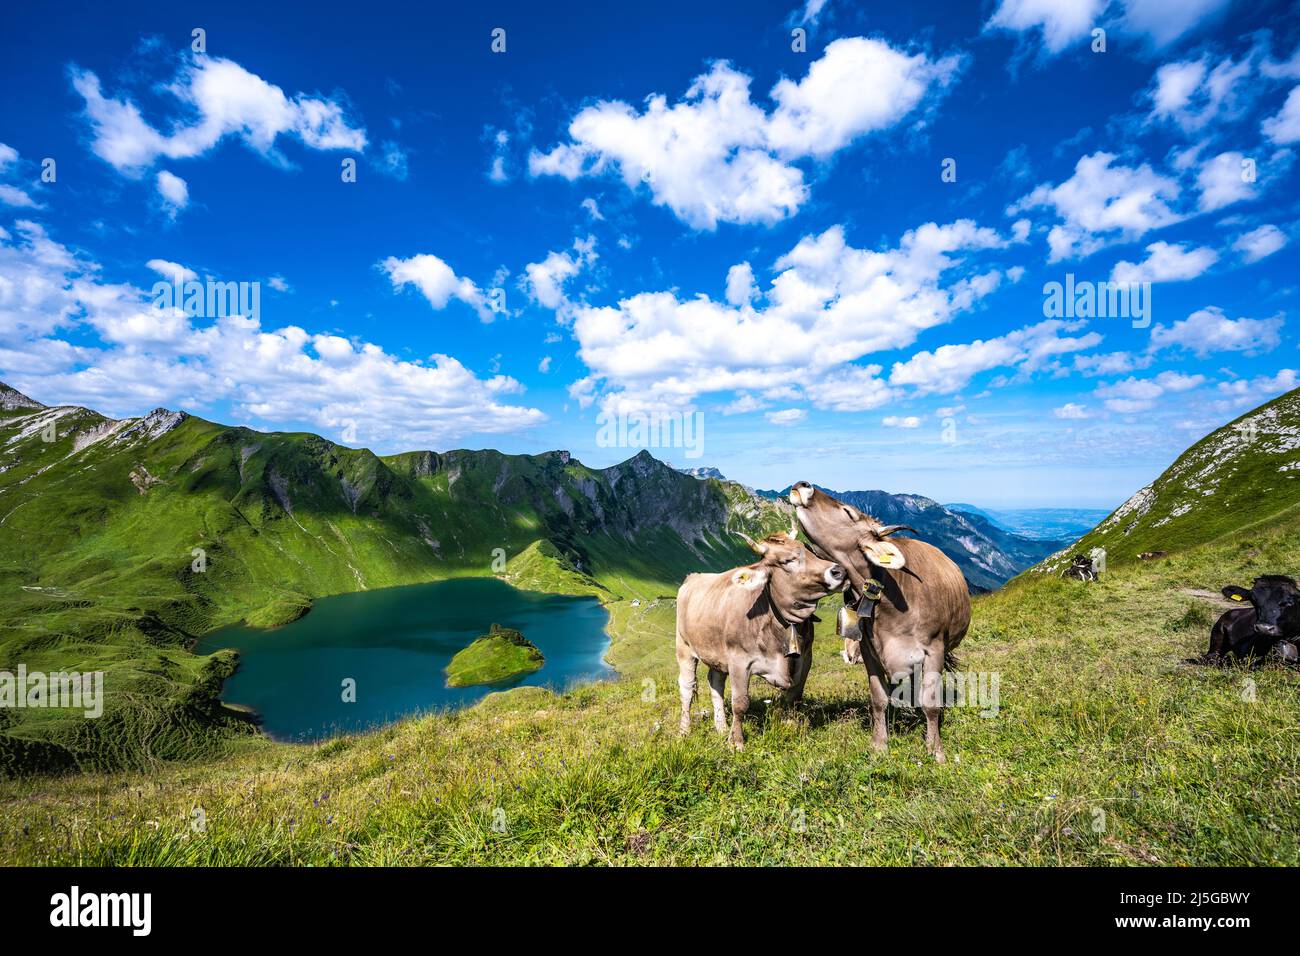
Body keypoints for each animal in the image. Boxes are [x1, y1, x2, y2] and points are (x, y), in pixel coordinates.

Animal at [676, 530, 847, 749]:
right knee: (687, 689)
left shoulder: (806, 658)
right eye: (787, 561)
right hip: (684, 648)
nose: (839, 571)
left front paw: (791, 727)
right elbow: (740, 703)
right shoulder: (739, 661)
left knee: (716, 683)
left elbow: (794, 697)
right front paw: (737, 742)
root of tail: (694, 577)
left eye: (809, 549)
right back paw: (684, 731)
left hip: (716, 653)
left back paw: (721, 727)